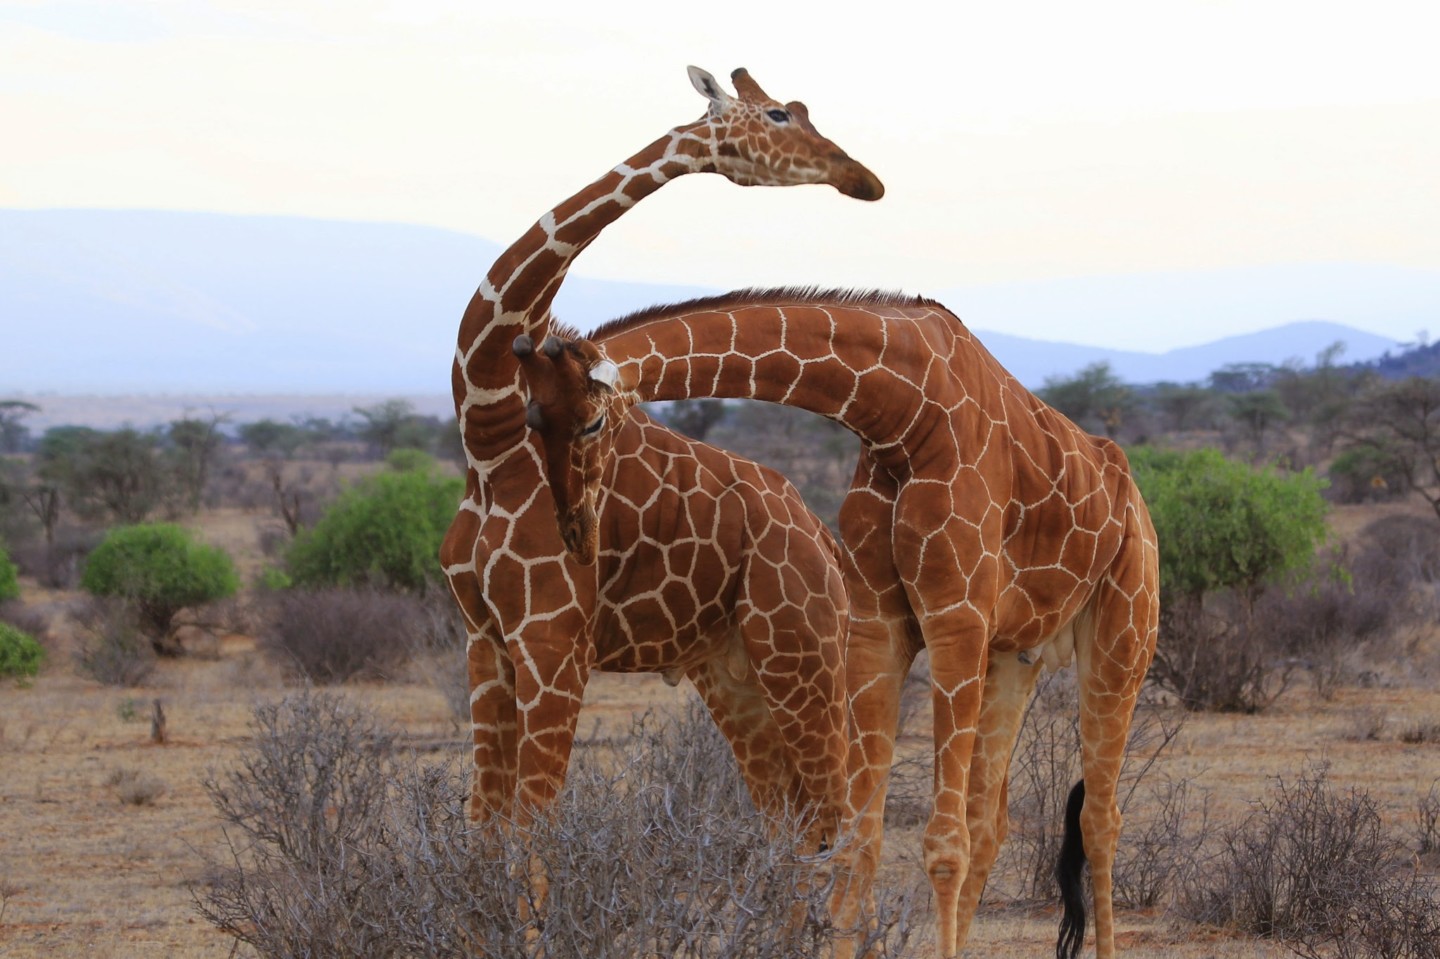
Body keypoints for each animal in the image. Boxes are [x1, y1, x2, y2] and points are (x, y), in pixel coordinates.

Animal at [437, 67, 881, 852]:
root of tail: (823, 540)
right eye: (779, 113)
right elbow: (486, 825)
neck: (486, 448)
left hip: (801, 651)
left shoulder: (554, 644)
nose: (863, 179)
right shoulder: (484, 642)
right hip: (731, 667)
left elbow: (533, 829)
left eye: (802, 110)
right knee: (788, 820)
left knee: (839, 814)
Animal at [515, 285, 1157, 956]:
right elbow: (858, 839)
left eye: (591, 421)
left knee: (1098, 818)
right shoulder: (879, 625)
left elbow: (942, 845)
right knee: (992, 821)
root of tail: (1131, 493)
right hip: (1016, 654)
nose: (575, 531)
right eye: (532, 421)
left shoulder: (955, 617)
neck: (902, 415)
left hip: (1124, 631)